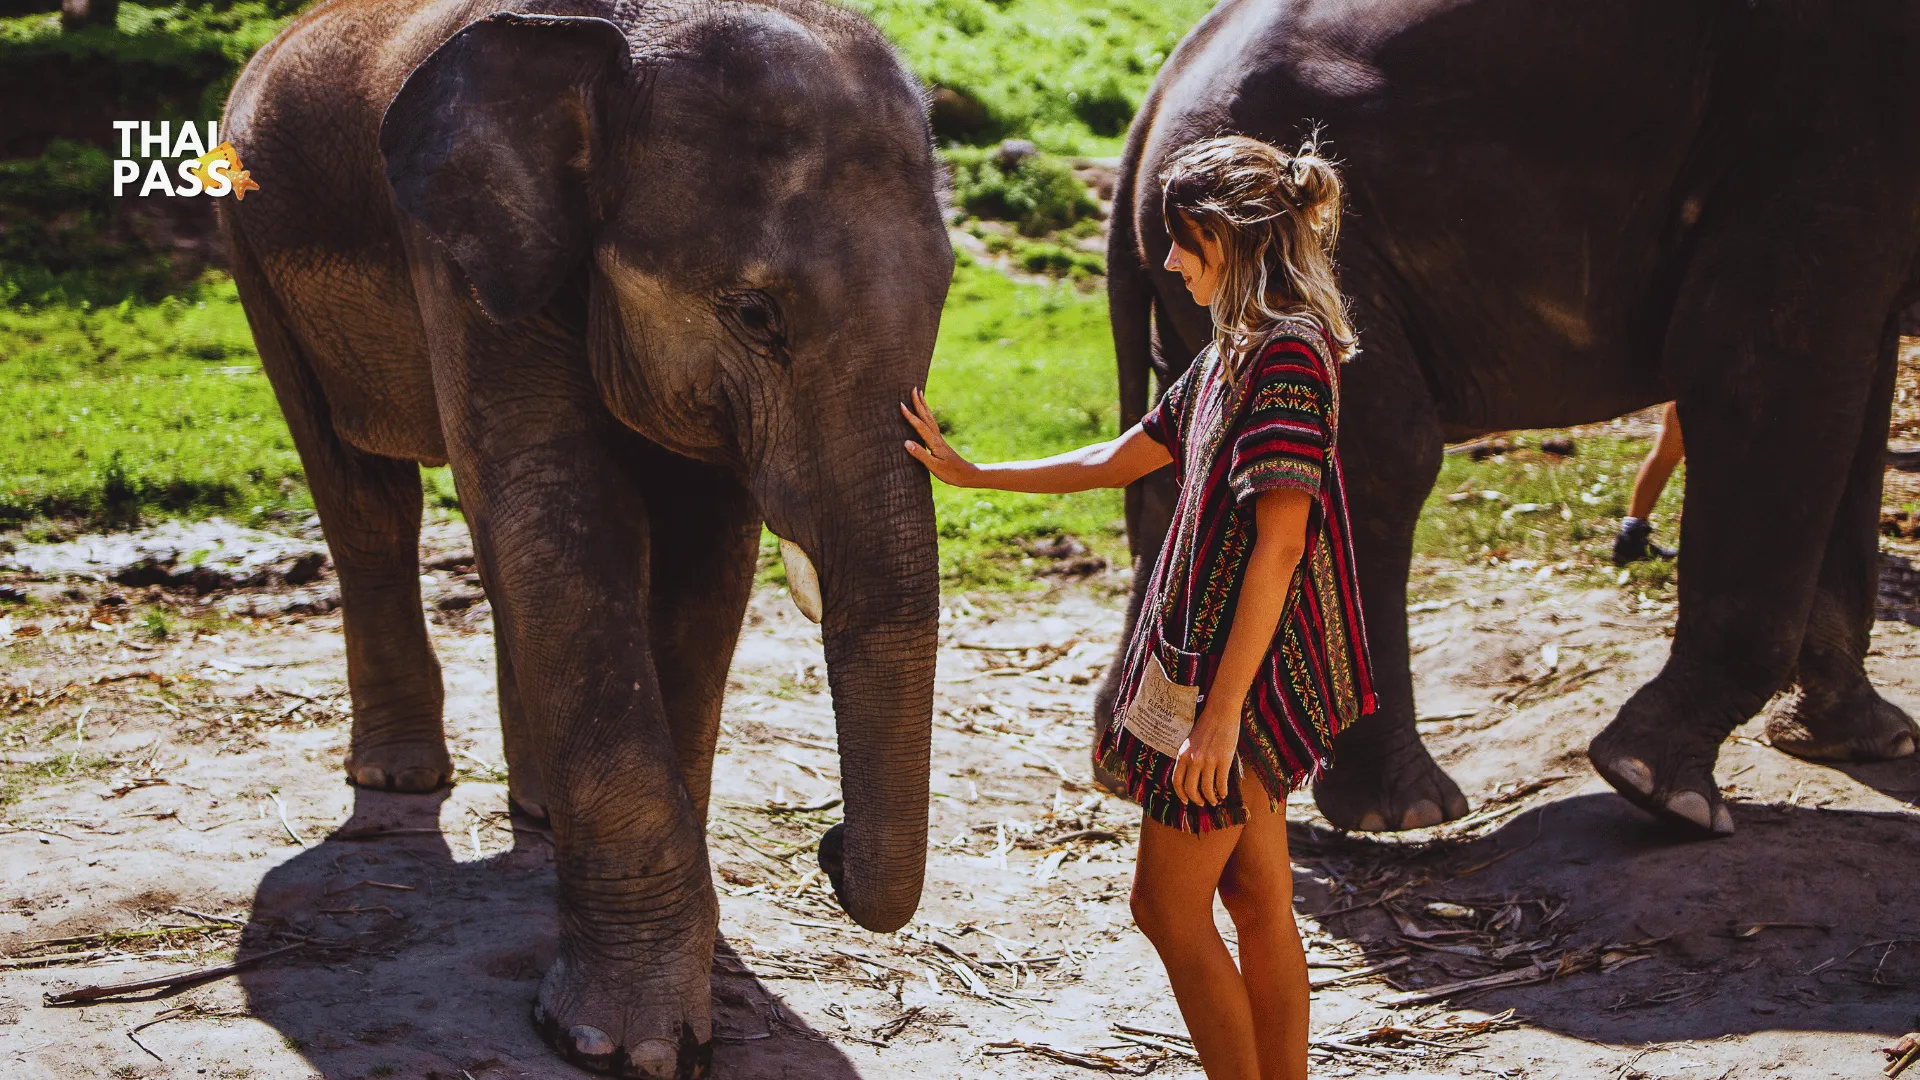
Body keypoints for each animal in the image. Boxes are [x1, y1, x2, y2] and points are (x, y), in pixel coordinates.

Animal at [217, 4, 952, 1068]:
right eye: (756, 314)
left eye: (944, 298)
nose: (827, 847)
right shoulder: (454, 257)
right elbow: (562, 508)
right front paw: (623, 1044)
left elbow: (702, 555)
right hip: (249, 246)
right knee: (365, 498)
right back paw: (398, 775)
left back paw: (536, 808)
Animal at [1098, 0, 1920, 834]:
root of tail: (1150, 110)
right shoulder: (1813, 119)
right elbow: (1758, 364)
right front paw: (1663, 792)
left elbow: (1856, 395)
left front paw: (1866, 742)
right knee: (1385, 456)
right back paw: (1405, 811)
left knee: (1186, 461)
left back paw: (1131, 767)